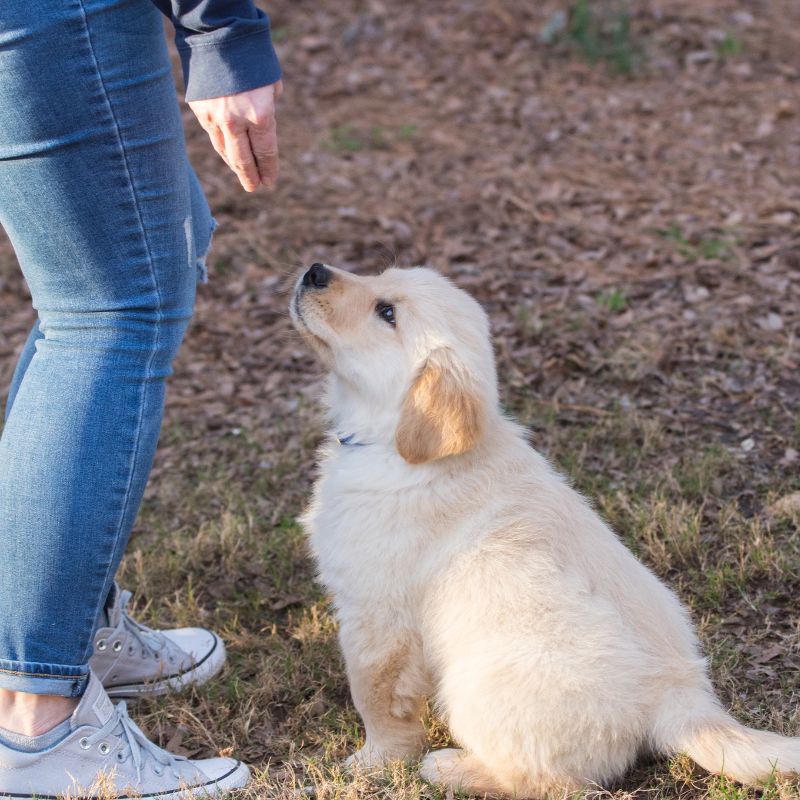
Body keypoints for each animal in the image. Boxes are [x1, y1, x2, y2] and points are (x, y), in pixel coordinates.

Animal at [292, 264, 800, 800]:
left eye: (386, 312)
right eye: (382, 275)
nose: (315, 270)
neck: (393, 445)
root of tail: (680, 698)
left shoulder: (375, 614)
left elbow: (376, 696)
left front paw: (374, 762)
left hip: (478, 684)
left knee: (545, 780)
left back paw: (452, 769)